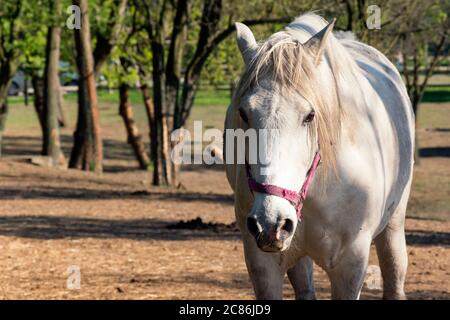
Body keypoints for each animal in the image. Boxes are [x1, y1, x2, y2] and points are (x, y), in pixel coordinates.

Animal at [225, 13, 414, 300]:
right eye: (244, 113)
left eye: (309, 115)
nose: (270, 223)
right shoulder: (263, 264)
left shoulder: (350, 265)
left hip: (393, 225)